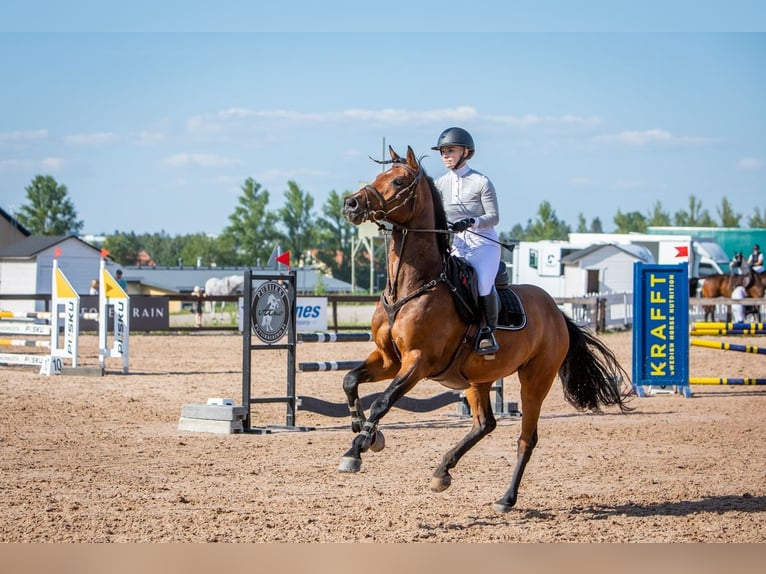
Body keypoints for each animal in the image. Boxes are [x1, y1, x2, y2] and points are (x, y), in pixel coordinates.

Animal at [338, 146, 632, 516]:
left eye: (399, 181)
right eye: (378, 176)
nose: (351, 204)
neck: (411, 286)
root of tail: (556, 312)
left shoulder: (417, 362)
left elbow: (383, 401)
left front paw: (357, 448)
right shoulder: (389, 359)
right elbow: (350, 381)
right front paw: (362, 431)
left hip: (535, 379)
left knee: (526, 438)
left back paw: (506, 498)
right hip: (477, 379)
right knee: (484, 424)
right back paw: (442, 471)